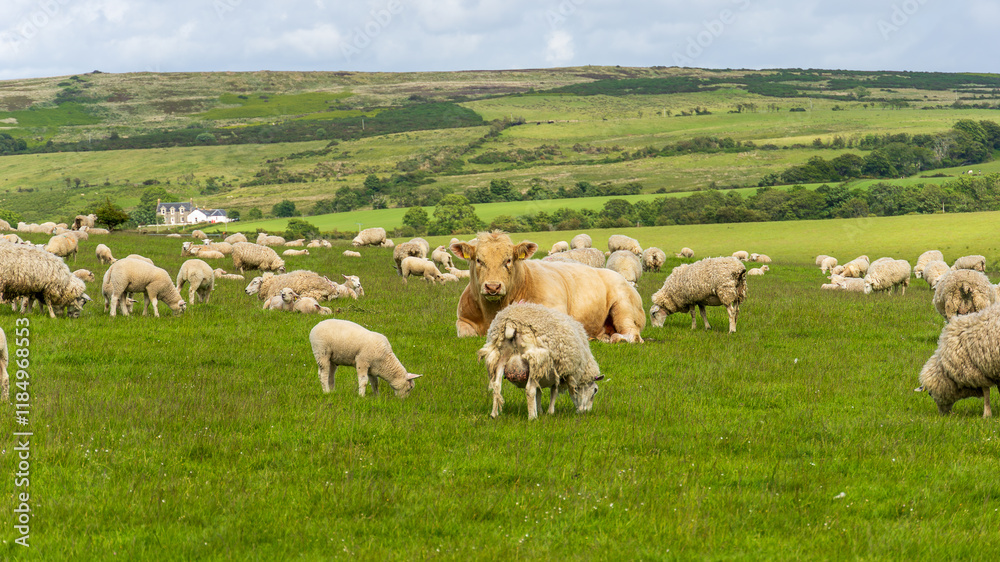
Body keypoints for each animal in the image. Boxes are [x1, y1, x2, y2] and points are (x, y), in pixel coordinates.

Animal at [450, 231, 645, 343]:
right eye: (478, 260)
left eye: (508, 260)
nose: (492, 287)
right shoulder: (462, 320)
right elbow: (466, 333)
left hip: (624, 308)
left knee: (632, 335)